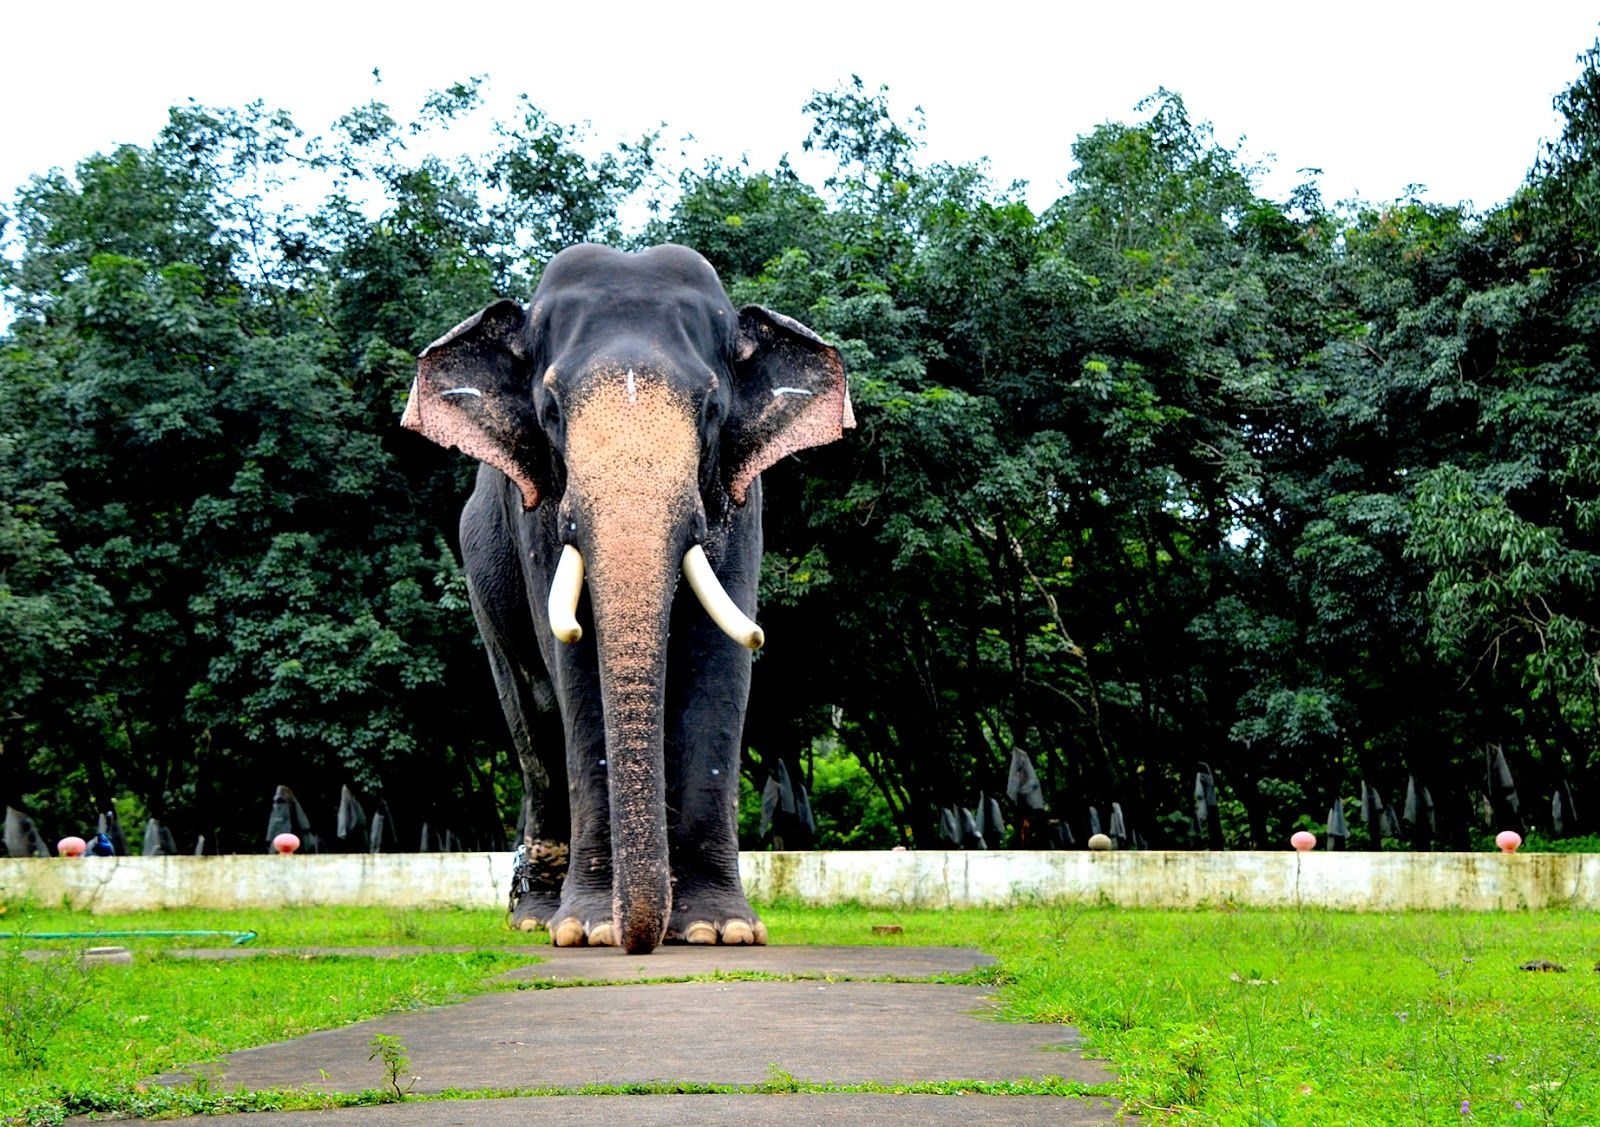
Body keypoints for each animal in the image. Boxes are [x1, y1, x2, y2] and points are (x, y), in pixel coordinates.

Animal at [400, 244, 851, 947]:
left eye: (711, 410)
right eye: (551, 411)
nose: (636, 935)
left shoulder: (741, 500)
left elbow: (719, 662)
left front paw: (720, 930)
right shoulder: (538, 514)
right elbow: (576, 672)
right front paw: (588, 931)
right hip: (481, 580)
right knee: (533, 720)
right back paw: (538, 917)